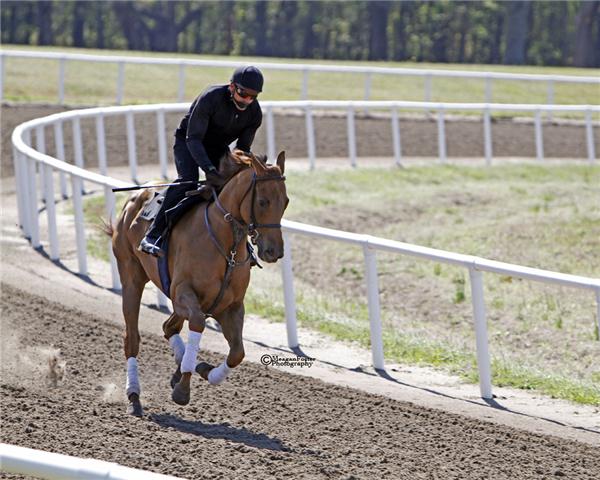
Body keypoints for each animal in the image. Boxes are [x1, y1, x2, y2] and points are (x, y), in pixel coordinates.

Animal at [108, 151, 288, 416]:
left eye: (286, 201)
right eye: (263, 201)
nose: (274, 251)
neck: (226, 247)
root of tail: (133, 199)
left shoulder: (230, 306)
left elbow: (237, 352)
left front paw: (204, 371)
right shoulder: (182, 293)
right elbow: (198, 324)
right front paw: (183, 388)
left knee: (169, 327)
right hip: (131, 276)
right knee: (132, 338)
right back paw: (134, 395)